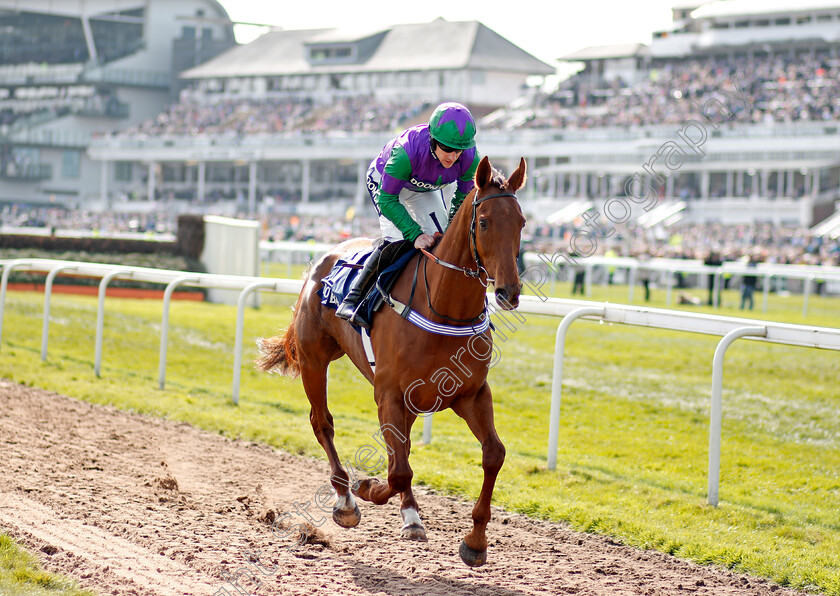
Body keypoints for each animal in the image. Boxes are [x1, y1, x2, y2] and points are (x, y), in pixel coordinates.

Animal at [260, 156, 528, 564]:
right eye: (484, 222)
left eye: (521, 222)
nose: (508, 292)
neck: (445, 308)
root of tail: (320, 261)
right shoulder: (388, 393)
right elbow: (397, 471)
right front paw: (366, 489)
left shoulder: (470, 393)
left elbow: (493, 454)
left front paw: (475, 541)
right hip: (313, 360)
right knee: (323, 424)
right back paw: (346, 499)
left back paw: (408, 514)